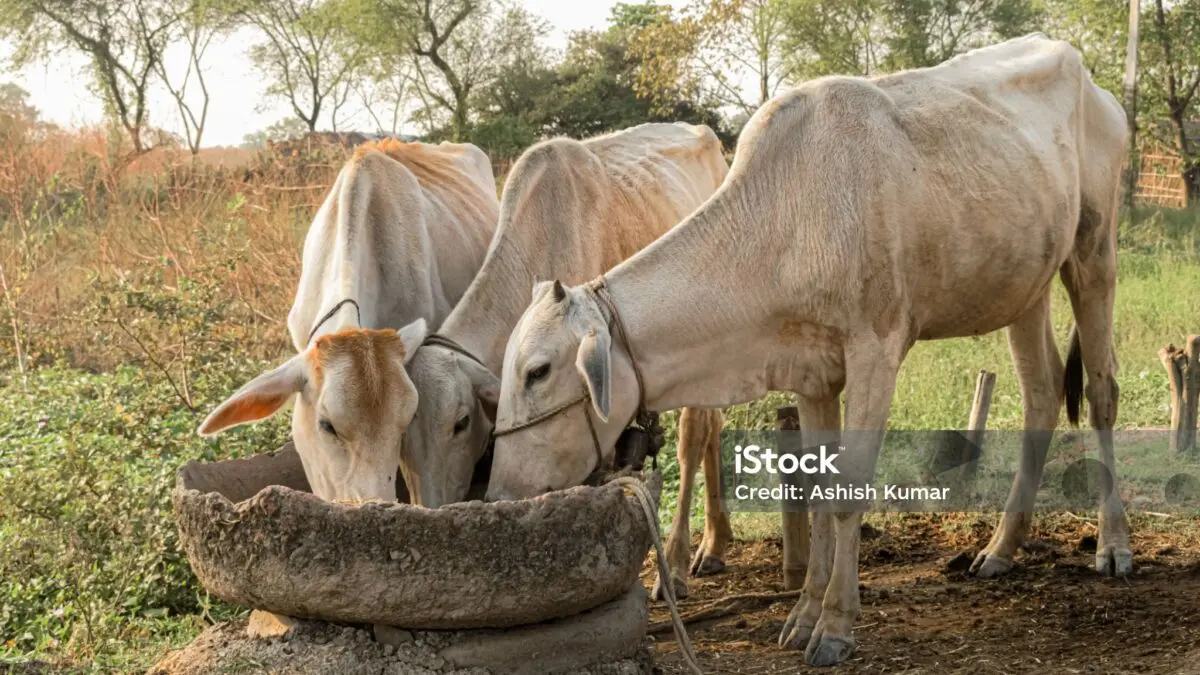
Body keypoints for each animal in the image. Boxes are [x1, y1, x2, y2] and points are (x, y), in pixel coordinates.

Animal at [484, 34, 1130, 666]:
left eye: (538, 371)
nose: (497, 494)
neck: (783, 223)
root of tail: (1091, 80)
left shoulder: (875, 348)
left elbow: (848, 489)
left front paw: (837, 625)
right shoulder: (811, 371)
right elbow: (818, 489)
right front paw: (803, 614)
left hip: (1094, 250)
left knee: (1101, 391)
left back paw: (1113, 546)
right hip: (1027, 285)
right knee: (1042, 392)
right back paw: (1000, 548)